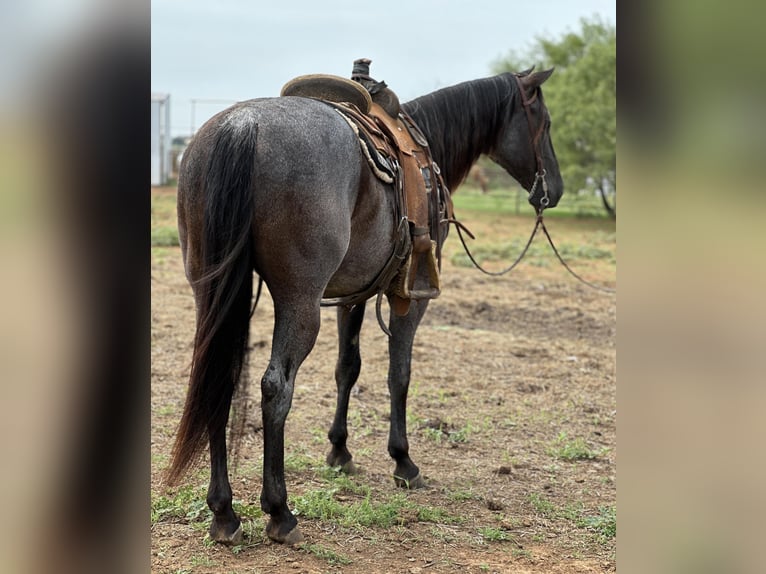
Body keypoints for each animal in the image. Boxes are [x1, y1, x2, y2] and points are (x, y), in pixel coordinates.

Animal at [166, 65, 564, 548]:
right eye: (544, 122)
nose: (555, 190)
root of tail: (242, 126)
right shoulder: (410, 296)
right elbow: (399, 374)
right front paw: (403, 461)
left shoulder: (351, 295)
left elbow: (347, 368)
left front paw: (339, 450)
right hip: (299, 301)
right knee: (276, 387)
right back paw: (279, 511)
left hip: (212, 292)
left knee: (218, 380)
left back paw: (224, 512)